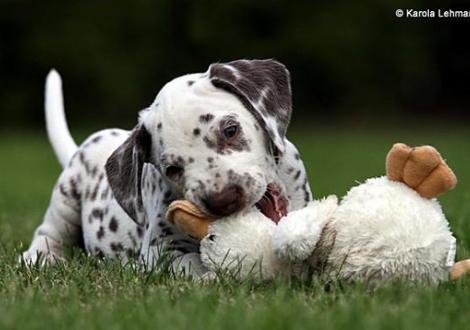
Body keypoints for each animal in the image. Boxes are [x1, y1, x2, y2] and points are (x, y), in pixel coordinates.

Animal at [22, 58, 312, 276]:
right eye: (172, 169)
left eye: (230, 130)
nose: (223, 199)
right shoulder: (160, 249)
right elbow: (190, 265)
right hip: (65, 200)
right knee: (47, 233)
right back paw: (43, 258)